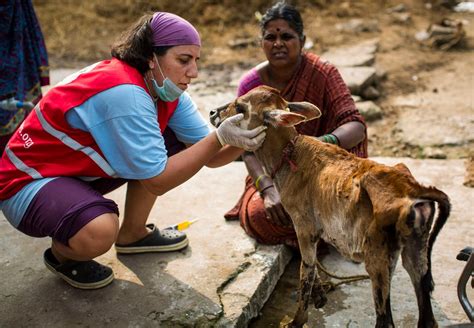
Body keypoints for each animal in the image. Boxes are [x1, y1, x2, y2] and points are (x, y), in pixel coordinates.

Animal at [211, 86, 452, 326]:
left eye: (240, 106)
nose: (213, 113)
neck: (290, 154)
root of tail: (412, 189)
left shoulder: (303, 226)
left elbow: (306, 268)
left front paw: (298, 320)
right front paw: (320, 296)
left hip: (379, 259)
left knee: (386, 320)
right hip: (416, 251)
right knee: (427, 316)